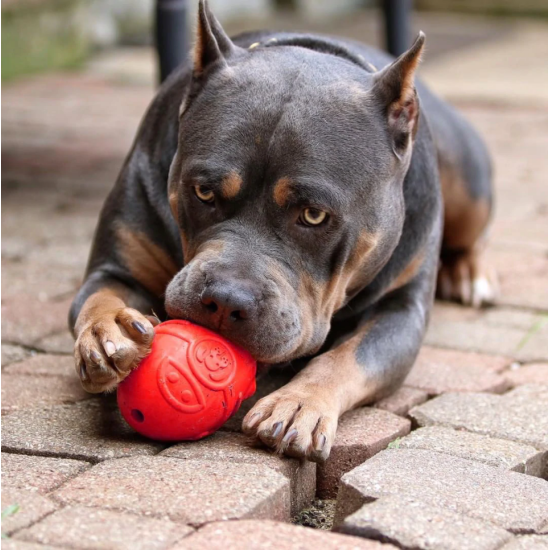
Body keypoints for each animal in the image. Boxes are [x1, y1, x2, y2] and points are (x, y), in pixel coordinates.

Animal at [69, 1, 496, 466]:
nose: (225, 300)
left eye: (313, 215)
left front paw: (300, 403)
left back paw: (470, 273)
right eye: (203, 192)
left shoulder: (401, 311)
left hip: (468, 186)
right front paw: (108, 332)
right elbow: (98, 297)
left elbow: (347, 357)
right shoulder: (117, 266)